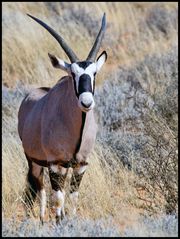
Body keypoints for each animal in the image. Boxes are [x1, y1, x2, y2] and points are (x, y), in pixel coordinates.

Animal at [18, 12, 107, 224]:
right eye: (72, 73)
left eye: (94, 73)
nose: (86, 102)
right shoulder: (55, 164)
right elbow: (57, 199)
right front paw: (59, 222)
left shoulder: (80, 164)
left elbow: (73, 197)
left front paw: (71, 220)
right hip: (34, 161)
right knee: (40, 187)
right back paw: (42, 219)